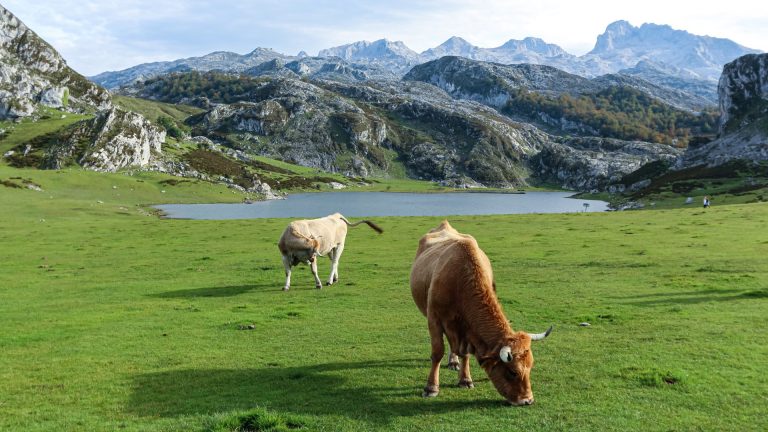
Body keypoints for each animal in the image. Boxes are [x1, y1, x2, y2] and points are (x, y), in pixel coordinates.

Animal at [408, 221, 552, 406]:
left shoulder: (466, 330)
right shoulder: (434, 319)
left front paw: (465, 379)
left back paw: (453, 361)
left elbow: (465, 354)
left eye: (530, 367)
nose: (527, 400)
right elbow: (437, 352)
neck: (460, 281)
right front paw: (431, 387)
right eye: (513, 372)